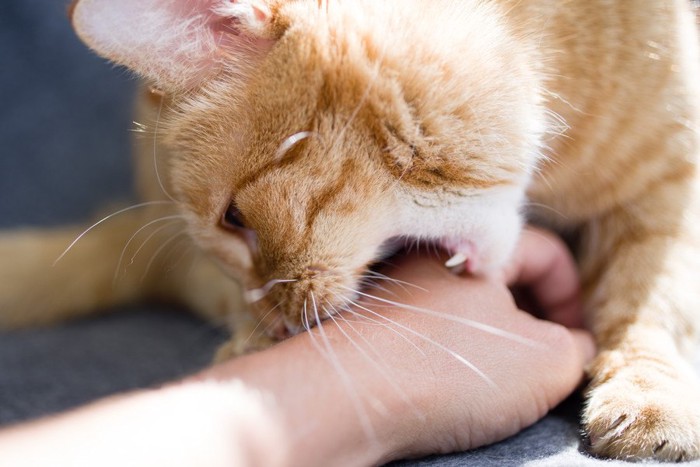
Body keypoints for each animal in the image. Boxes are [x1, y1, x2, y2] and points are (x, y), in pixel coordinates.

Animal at [1, 0, 700, 460]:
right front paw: (253, 344)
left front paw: (650, 392)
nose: (280, 323)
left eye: (235, 218)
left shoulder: (670, 183)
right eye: (226, 240)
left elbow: (650, 301)